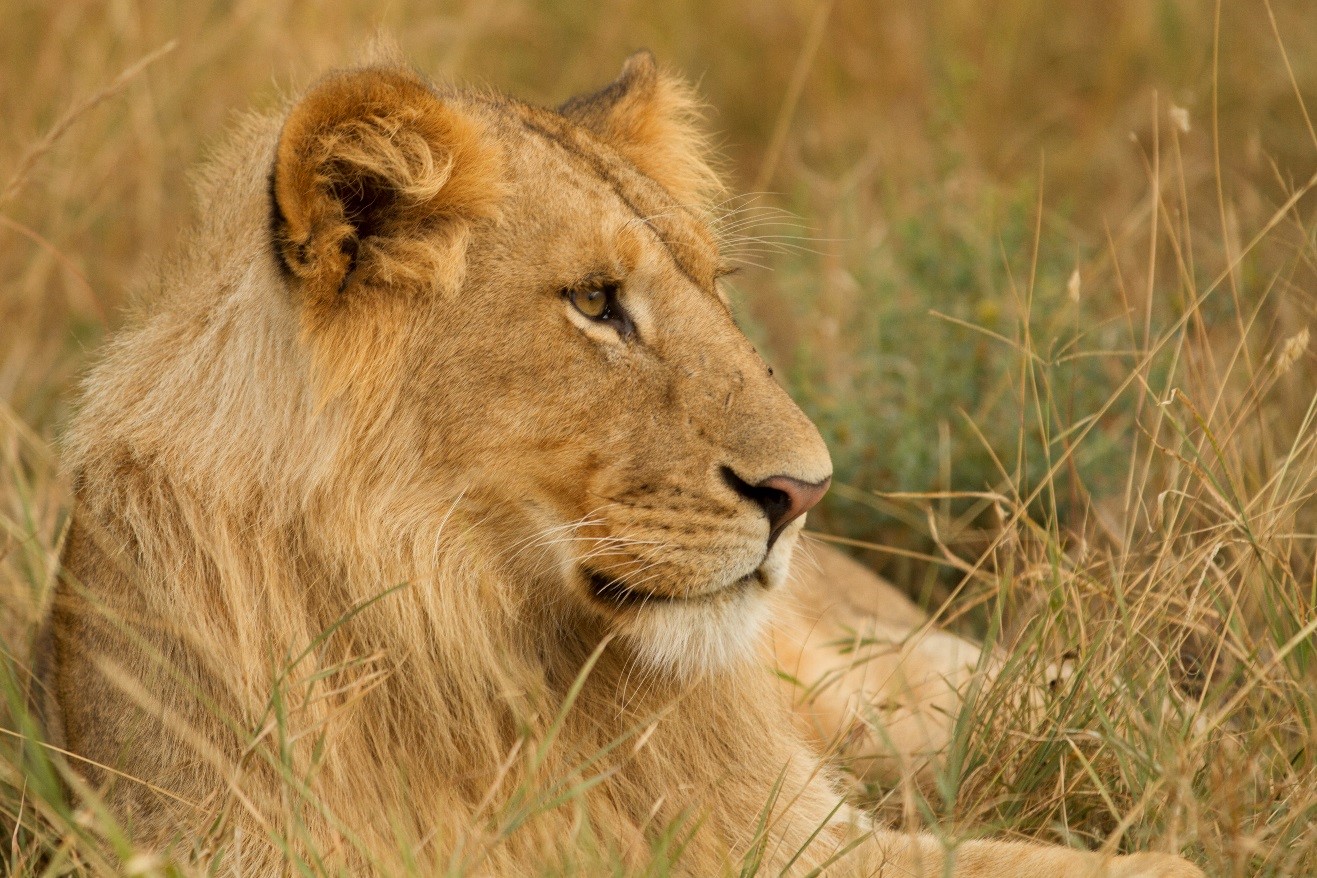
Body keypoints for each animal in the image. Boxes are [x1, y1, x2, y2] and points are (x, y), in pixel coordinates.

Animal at [43, 49, 1206, 878]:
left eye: (712, 287)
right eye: (597, 301)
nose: (805, 492)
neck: (475, 640)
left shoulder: (812, 837)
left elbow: (1149, 863)